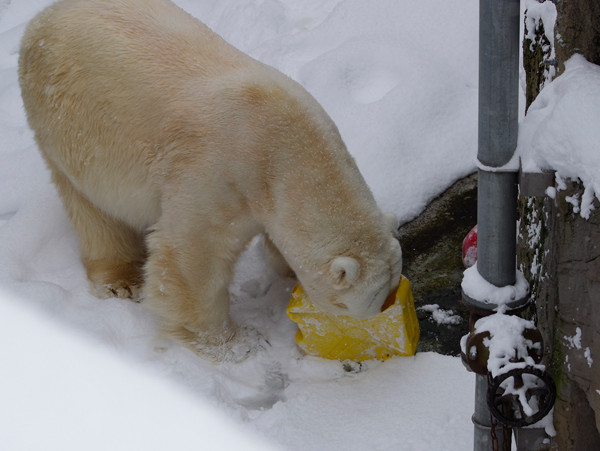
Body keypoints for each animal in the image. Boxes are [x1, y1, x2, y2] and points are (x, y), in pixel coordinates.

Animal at [19, 0, 404, 360]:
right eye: (369, 301)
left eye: (387, 294)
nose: (378, 317)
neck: (285, 145)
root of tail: (43, 16)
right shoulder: (216, 173)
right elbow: (193, 256)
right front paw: (238, 344)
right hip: (69, 126)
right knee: (95, 208)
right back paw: (121, 281)